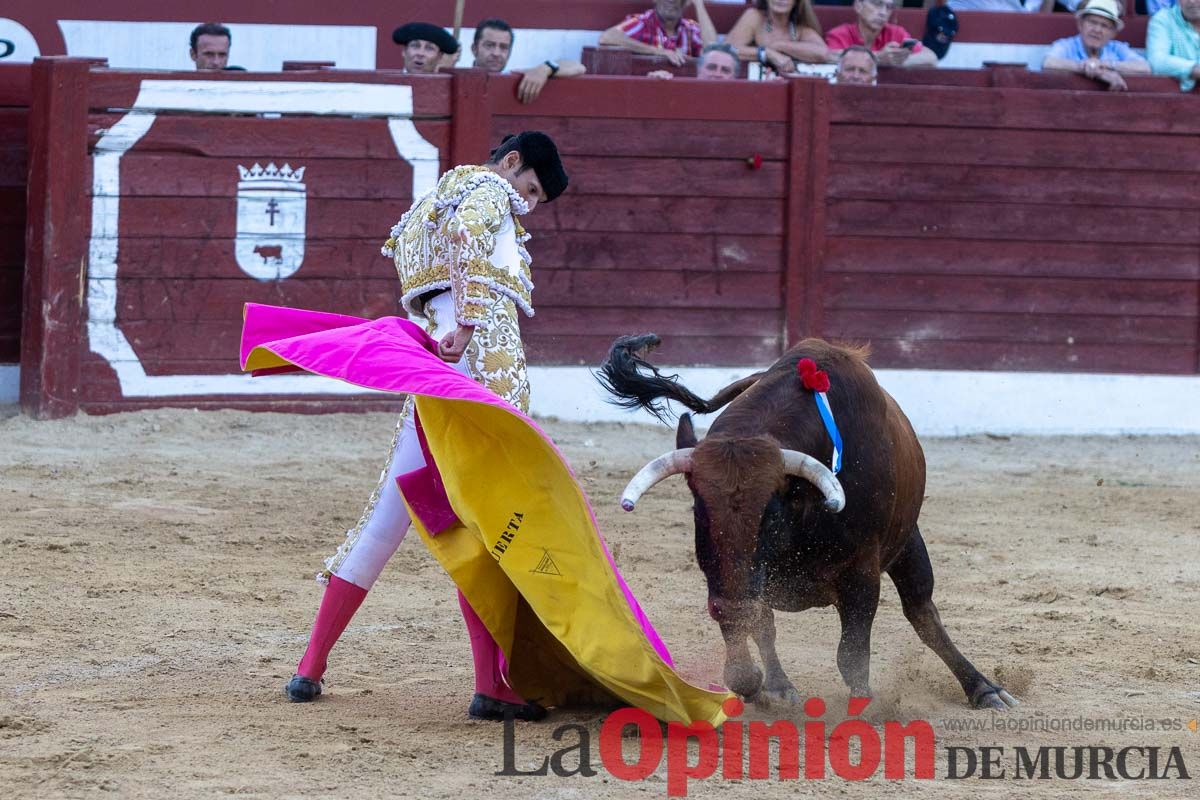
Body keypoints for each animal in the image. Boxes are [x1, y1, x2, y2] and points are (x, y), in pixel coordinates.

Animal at [595, 335, 1017, 710]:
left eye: (771, 516)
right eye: (700, 511)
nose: (734, 608)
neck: (806, 505)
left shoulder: (861, 572)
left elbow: (852, 653)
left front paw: (866, 706)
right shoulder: (729, 581)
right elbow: (750, 637)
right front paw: (759, 685)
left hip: (908, 542)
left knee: (923, 612)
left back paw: (984, 689)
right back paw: (779, 687)